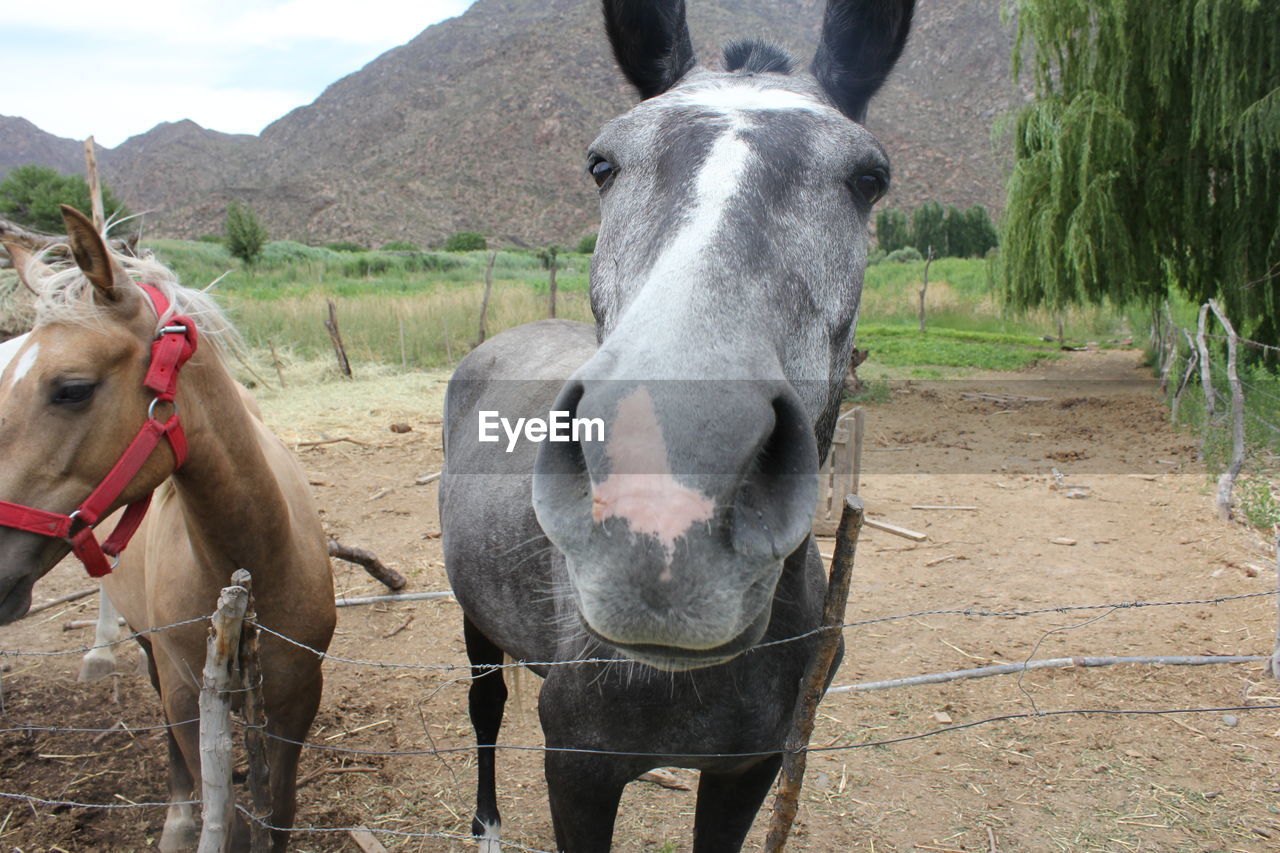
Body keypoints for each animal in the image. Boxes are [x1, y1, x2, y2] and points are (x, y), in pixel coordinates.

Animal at [0, 204, 337, 845]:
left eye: (72, 389)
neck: (252, 562)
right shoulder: (188, 691)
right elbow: (217, 808)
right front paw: (190, 819)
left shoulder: (297, 699)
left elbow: (277, 815)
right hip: (153, 650)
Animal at [440, 1, 911, 845]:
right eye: (602, 164)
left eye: (868, 179)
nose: (661, 519)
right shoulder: (579, 772)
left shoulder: (749, 769)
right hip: (475, 621)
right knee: (485, 704)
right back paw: (486, 822)